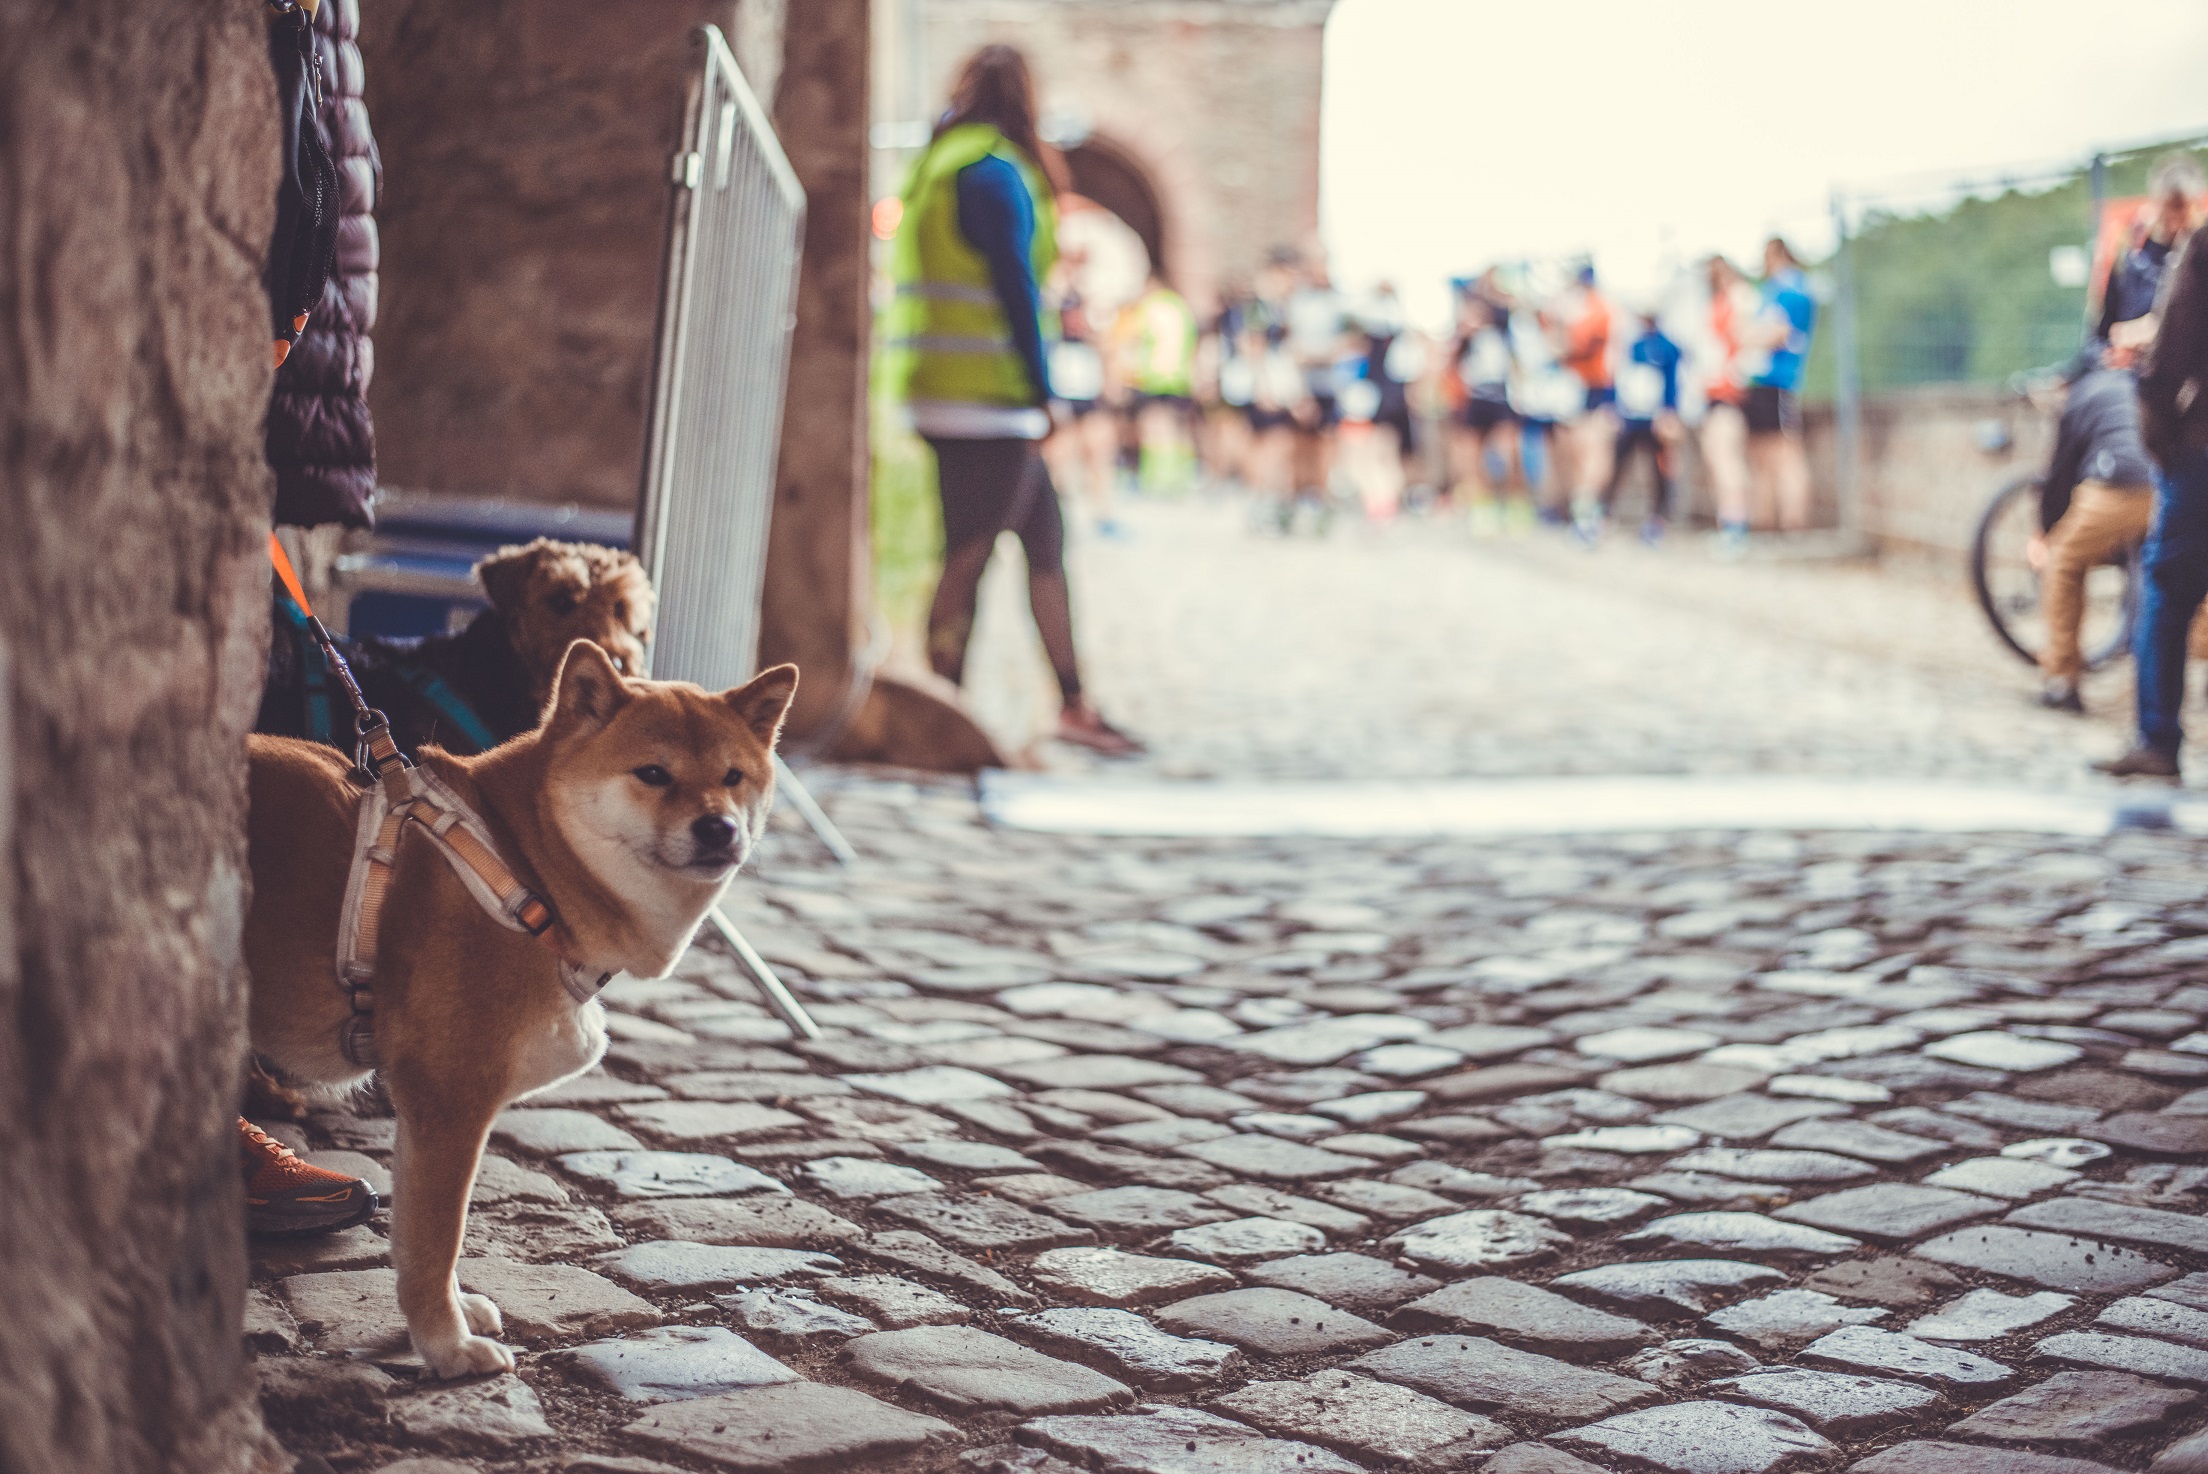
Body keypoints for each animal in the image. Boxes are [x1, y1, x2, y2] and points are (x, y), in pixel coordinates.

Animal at [247, 639, 799, 1376]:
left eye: (734, 776)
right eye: (653, 774)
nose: (719, 826)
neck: (523, 865)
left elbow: (423, 1233)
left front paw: (452, 1316)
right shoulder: (448, 1097)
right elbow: (436, 1237)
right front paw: (446, 1346)